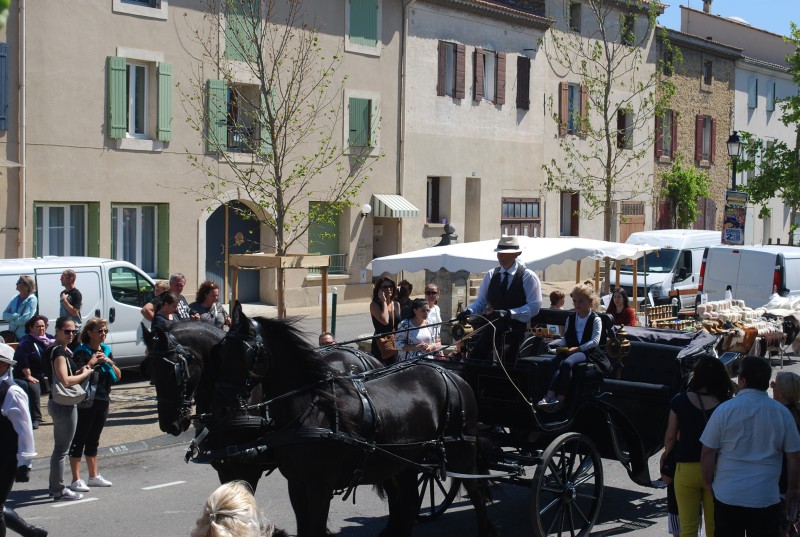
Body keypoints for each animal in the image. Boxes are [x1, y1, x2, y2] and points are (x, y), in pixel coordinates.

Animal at [214, 310, 500, 536]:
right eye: (220, 351)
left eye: (243, 353)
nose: (221, 408)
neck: (311, 409)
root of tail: (452, 375)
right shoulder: (296, 484)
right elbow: (305, 528)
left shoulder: (319, 486)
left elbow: (314, 529)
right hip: (408, 460)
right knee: (409, 501)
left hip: (460, 451)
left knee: (476, 492)